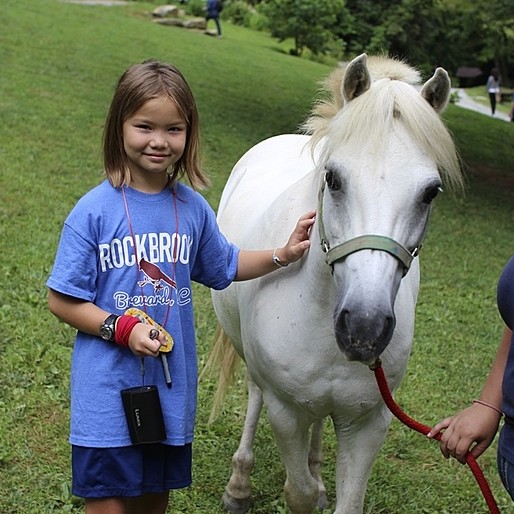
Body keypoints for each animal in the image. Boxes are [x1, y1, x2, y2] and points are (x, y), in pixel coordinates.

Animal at [206, 54, 462, 510]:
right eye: (334, 178)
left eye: (431, 192)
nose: (364, 327)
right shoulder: (286, 412)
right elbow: (299, 493)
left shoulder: (368, 422)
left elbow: (345, 499)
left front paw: (323, 484)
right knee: (254, 396)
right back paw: (239, 485)